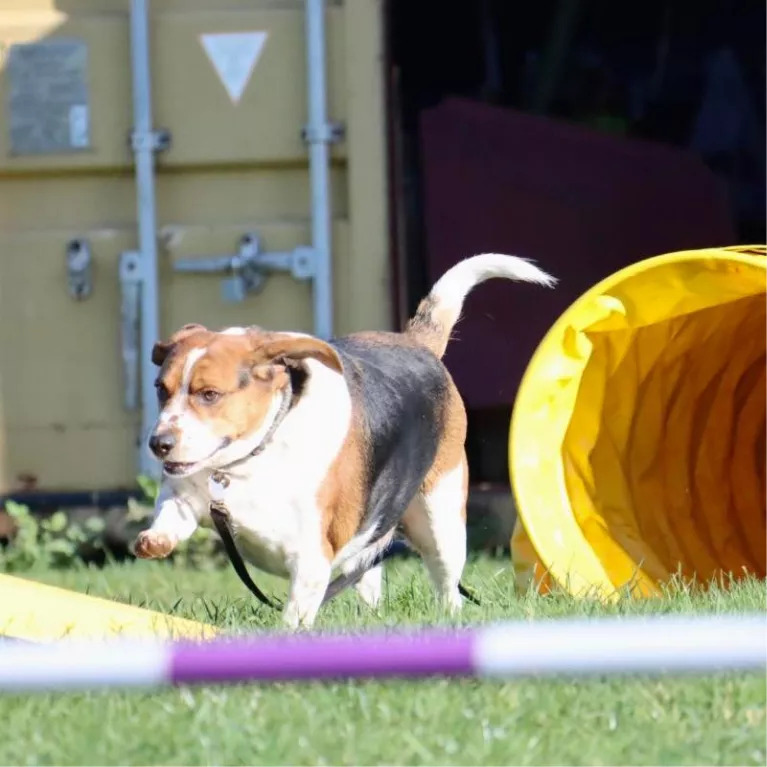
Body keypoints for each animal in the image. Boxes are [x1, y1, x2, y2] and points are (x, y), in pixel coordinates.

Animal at [135, 255, 556, 628]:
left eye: (209, 394)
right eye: (160, 389)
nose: (159, 444)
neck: (252, 459)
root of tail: (416, 344)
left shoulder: (310, 556)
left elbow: (295, 614)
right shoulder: (187, 494)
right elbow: (172, 511)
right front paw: (154, 540)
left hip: (441, 518)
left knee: (446, 583)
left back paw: (448, 616)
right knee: (369, 578)